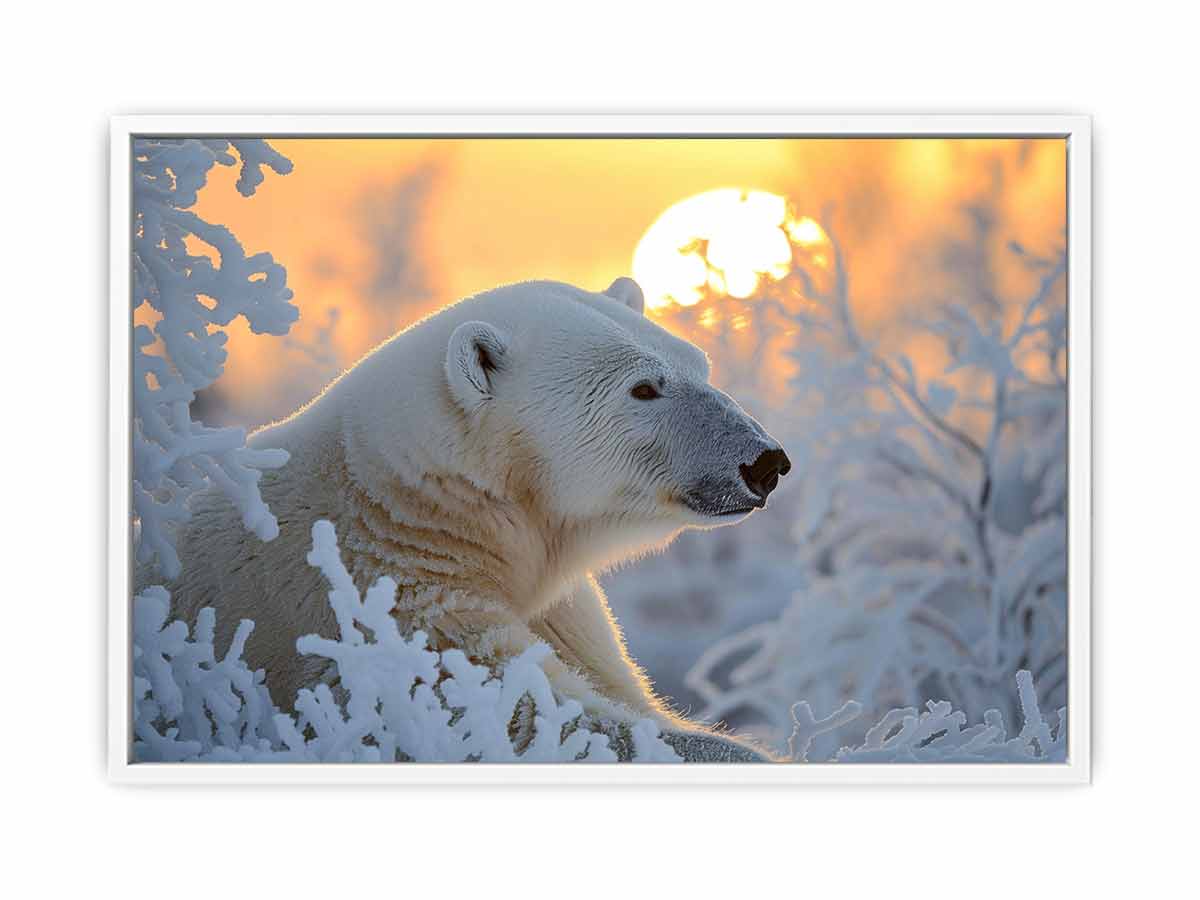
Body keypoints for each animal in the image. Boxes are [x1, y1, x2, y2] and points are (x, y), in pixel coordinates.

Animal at [152, 277, 791, 761]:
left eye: (699, 365)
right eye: (643, 388)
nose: (765, 462)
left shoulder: (558, 610)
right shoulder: (390, 613)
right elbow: (533, 722)